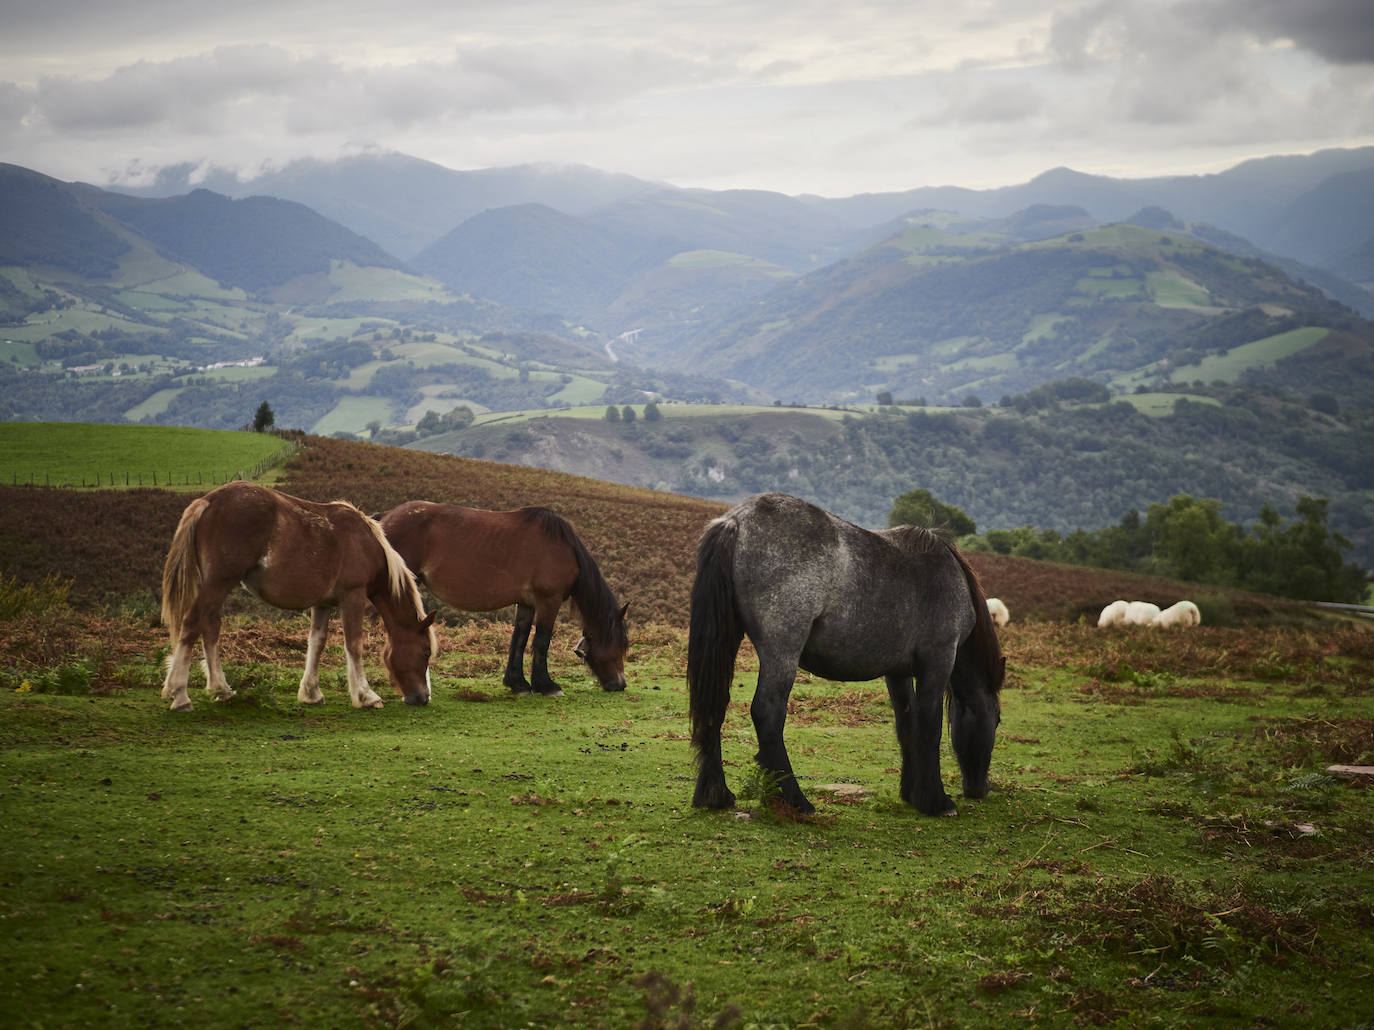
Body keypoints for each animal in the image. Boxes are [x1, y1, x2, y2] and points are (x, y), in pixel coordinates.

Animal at [160, 483, 439, 708]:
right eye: (425, 652)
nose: (423, 697)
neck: (366, 543)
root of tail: (208, 501)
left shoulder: (323, 604)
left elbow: (317, 642)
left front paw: (311, 693)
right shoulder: (353, 596)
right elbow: (354, 644)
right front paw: (365, 696)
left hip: (218, 585)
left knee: (210, 625)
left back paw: (221, 689)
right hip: (219, 581)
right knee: (192, 622)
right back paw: (180, 695)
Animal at [379, 502, 629, 697]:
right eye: (619, 644)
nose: (620, 684)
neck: (564, 548)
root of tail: (387, 517)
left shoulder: (527, 604)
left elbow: (519, 639)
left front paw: (518, 684)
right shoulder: (549, 600)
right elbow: (542, 640)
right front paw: (547, 686)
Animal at [692, 497, 1005, 818]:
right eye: (996, 719)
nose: (980, 788)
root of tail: (737, 520)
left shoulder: (898, 672)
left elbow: (907, 725)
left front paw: (911, 793)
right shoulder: (938, 663)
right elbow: (929, 728)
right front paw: (936, 801)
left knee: (715, 707)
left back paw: (717, 794)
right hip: (782, 653)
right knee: (767, 712)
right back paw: (797, 800)